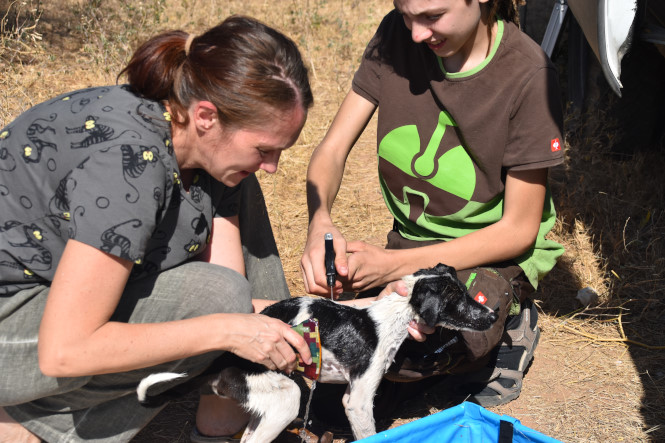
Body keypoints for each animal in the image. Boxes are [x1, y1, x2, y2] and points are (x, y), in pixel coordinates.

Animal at [137, 266, 496, 442]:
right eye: (458, 299)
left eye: (466, 293)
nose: (493, 316)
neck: (390, 316)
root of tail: (224, 358)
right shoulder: (357, 400)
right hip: (286, 398)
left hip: (266, 406)